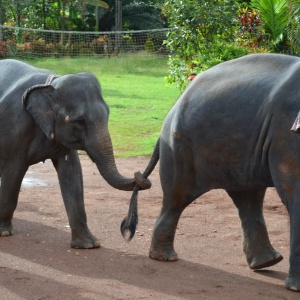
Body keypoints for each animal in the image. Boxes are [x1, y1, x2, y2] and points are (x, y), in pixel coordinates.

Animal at [0, 58, 150, 248]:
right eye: (79, 121)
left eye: (108, 113)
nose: (141, 175)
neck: (51, 83)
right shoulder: (14, 128)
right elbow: (13, 172)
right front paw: (4, 232)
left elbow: (72, 173)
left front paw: (89, 244)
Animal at [120, 53, 300, 290]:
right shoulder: (286, 134)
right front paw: (296, 288)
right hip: (180, 147)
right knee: (177, 197)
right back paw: (165, 258)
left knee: (247, 196)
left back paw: (267, 262)